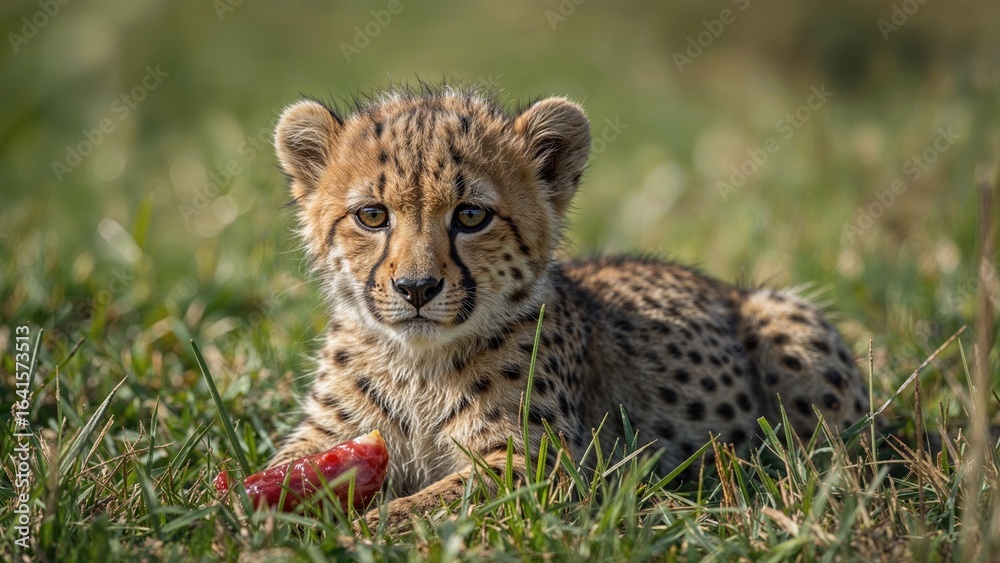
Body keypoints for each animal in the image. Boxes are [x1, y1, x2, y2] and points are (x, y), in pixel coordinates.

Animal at [268, 83, 870, 528]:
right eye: (372, 216)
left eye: (470, 216)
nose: (417, 288)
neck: (417, 360)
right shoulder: (326, 437)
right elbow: (275, 469)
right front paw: (248, 518)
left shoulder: (536, 465)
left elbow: (427, 504)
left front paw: (362, 529)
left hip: (789, 323)